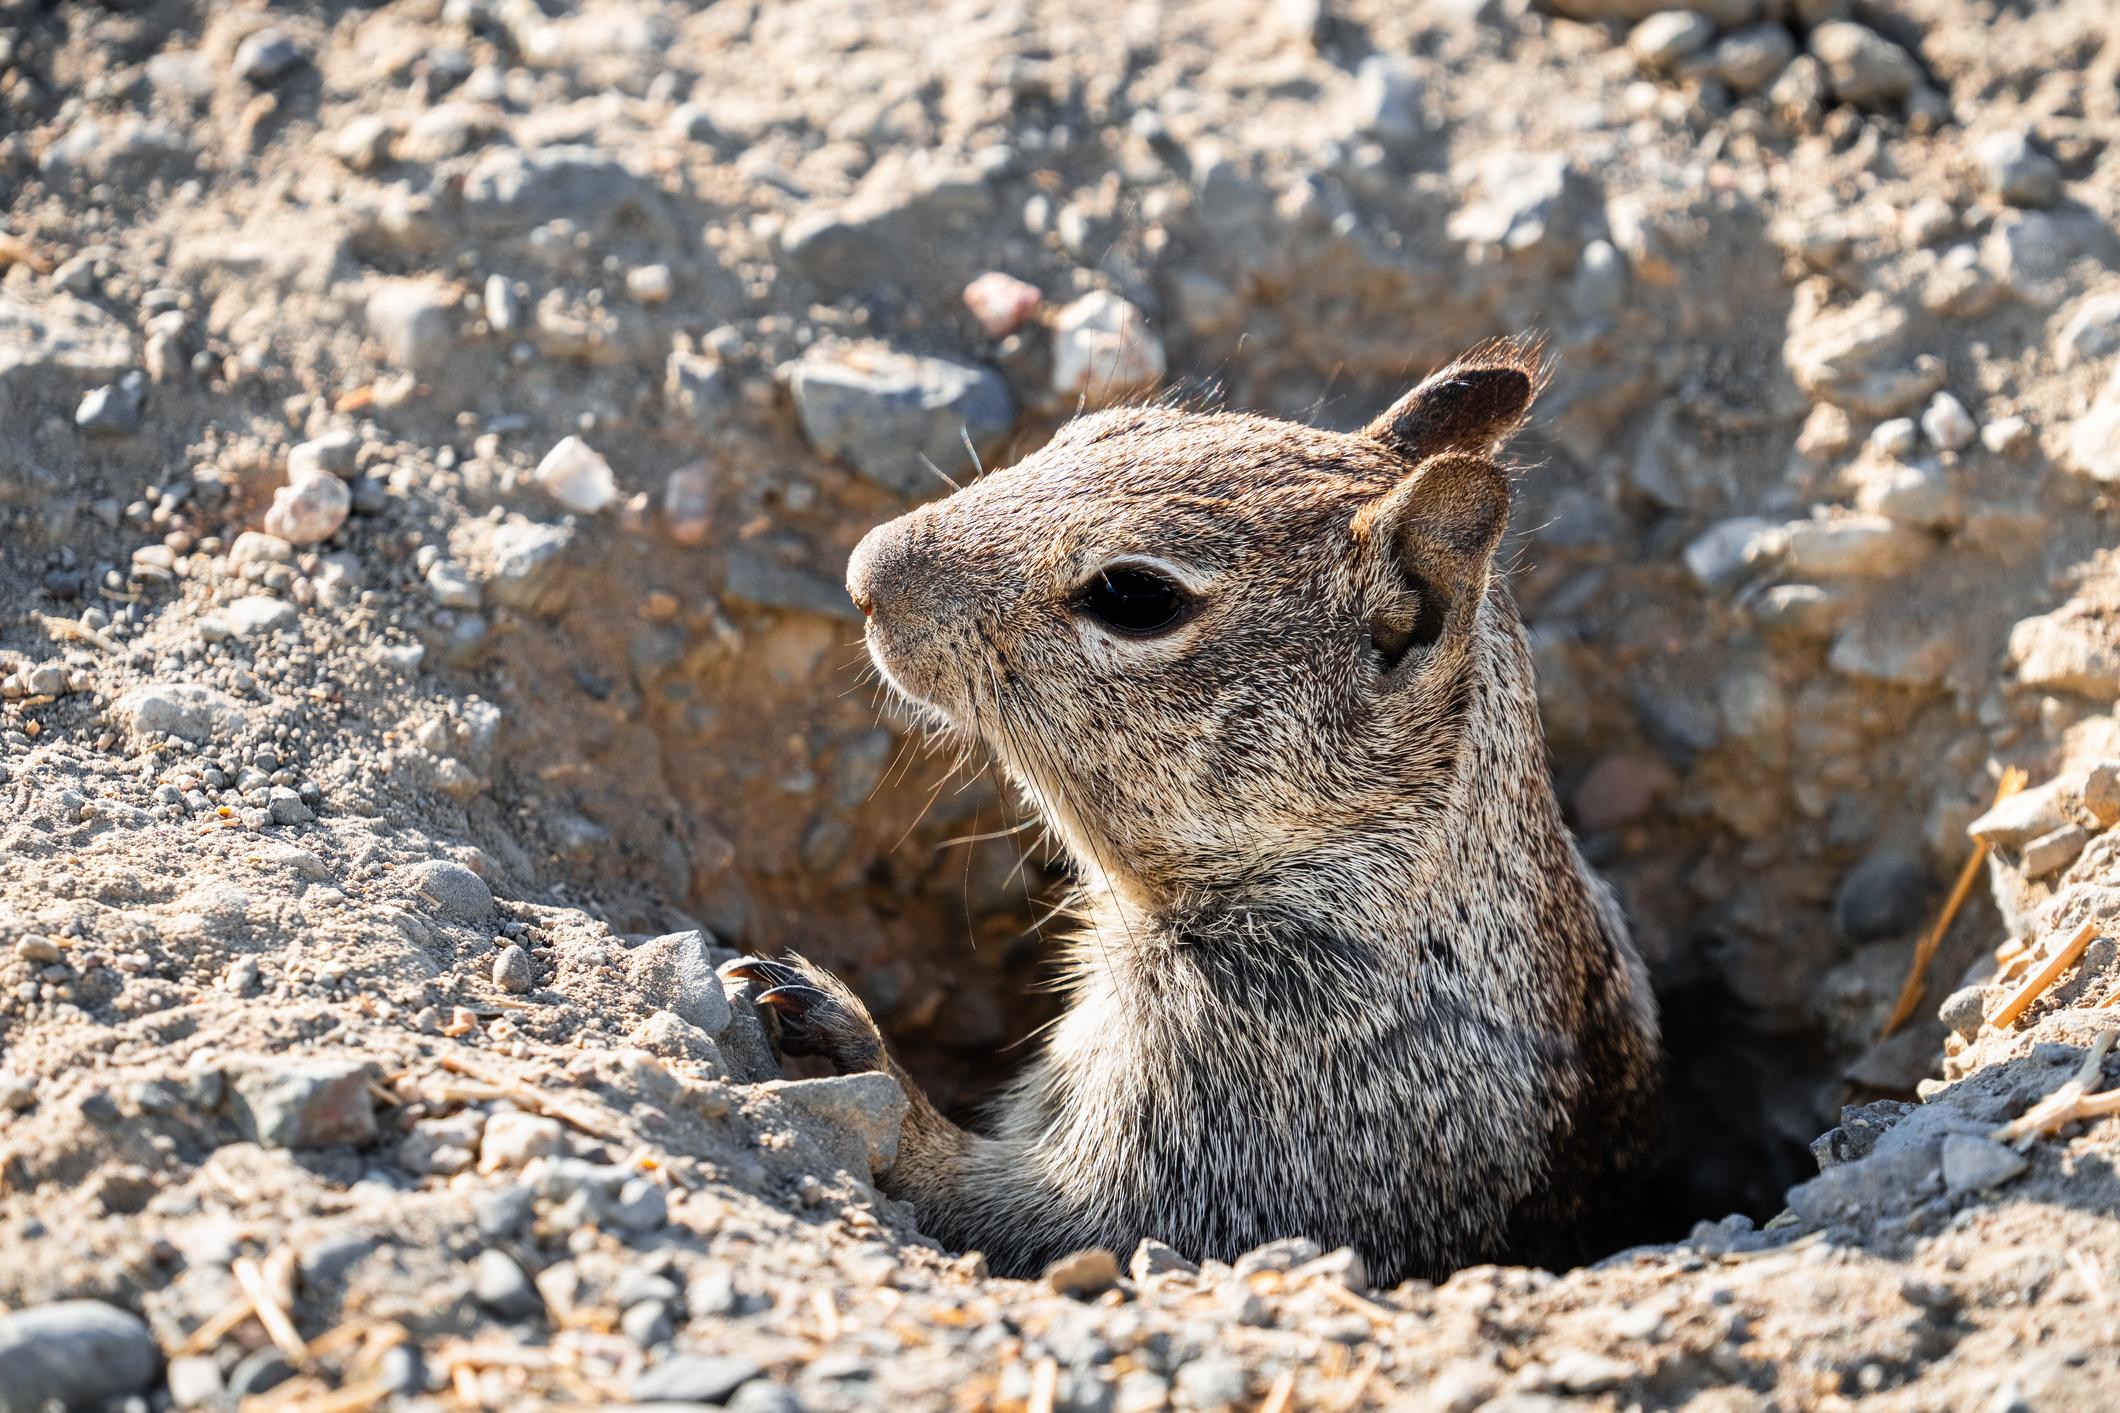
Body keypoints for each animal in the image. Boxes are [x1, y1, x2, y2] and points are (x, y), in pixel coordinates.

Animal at [729, 341, 1661, 1285]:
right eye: (1099, 427)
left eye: (1135, 596)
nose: (864, 573)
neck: (1361, 868)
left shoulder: (1255, 1097)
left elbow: (1050, 1218)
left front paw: (855, 1040)